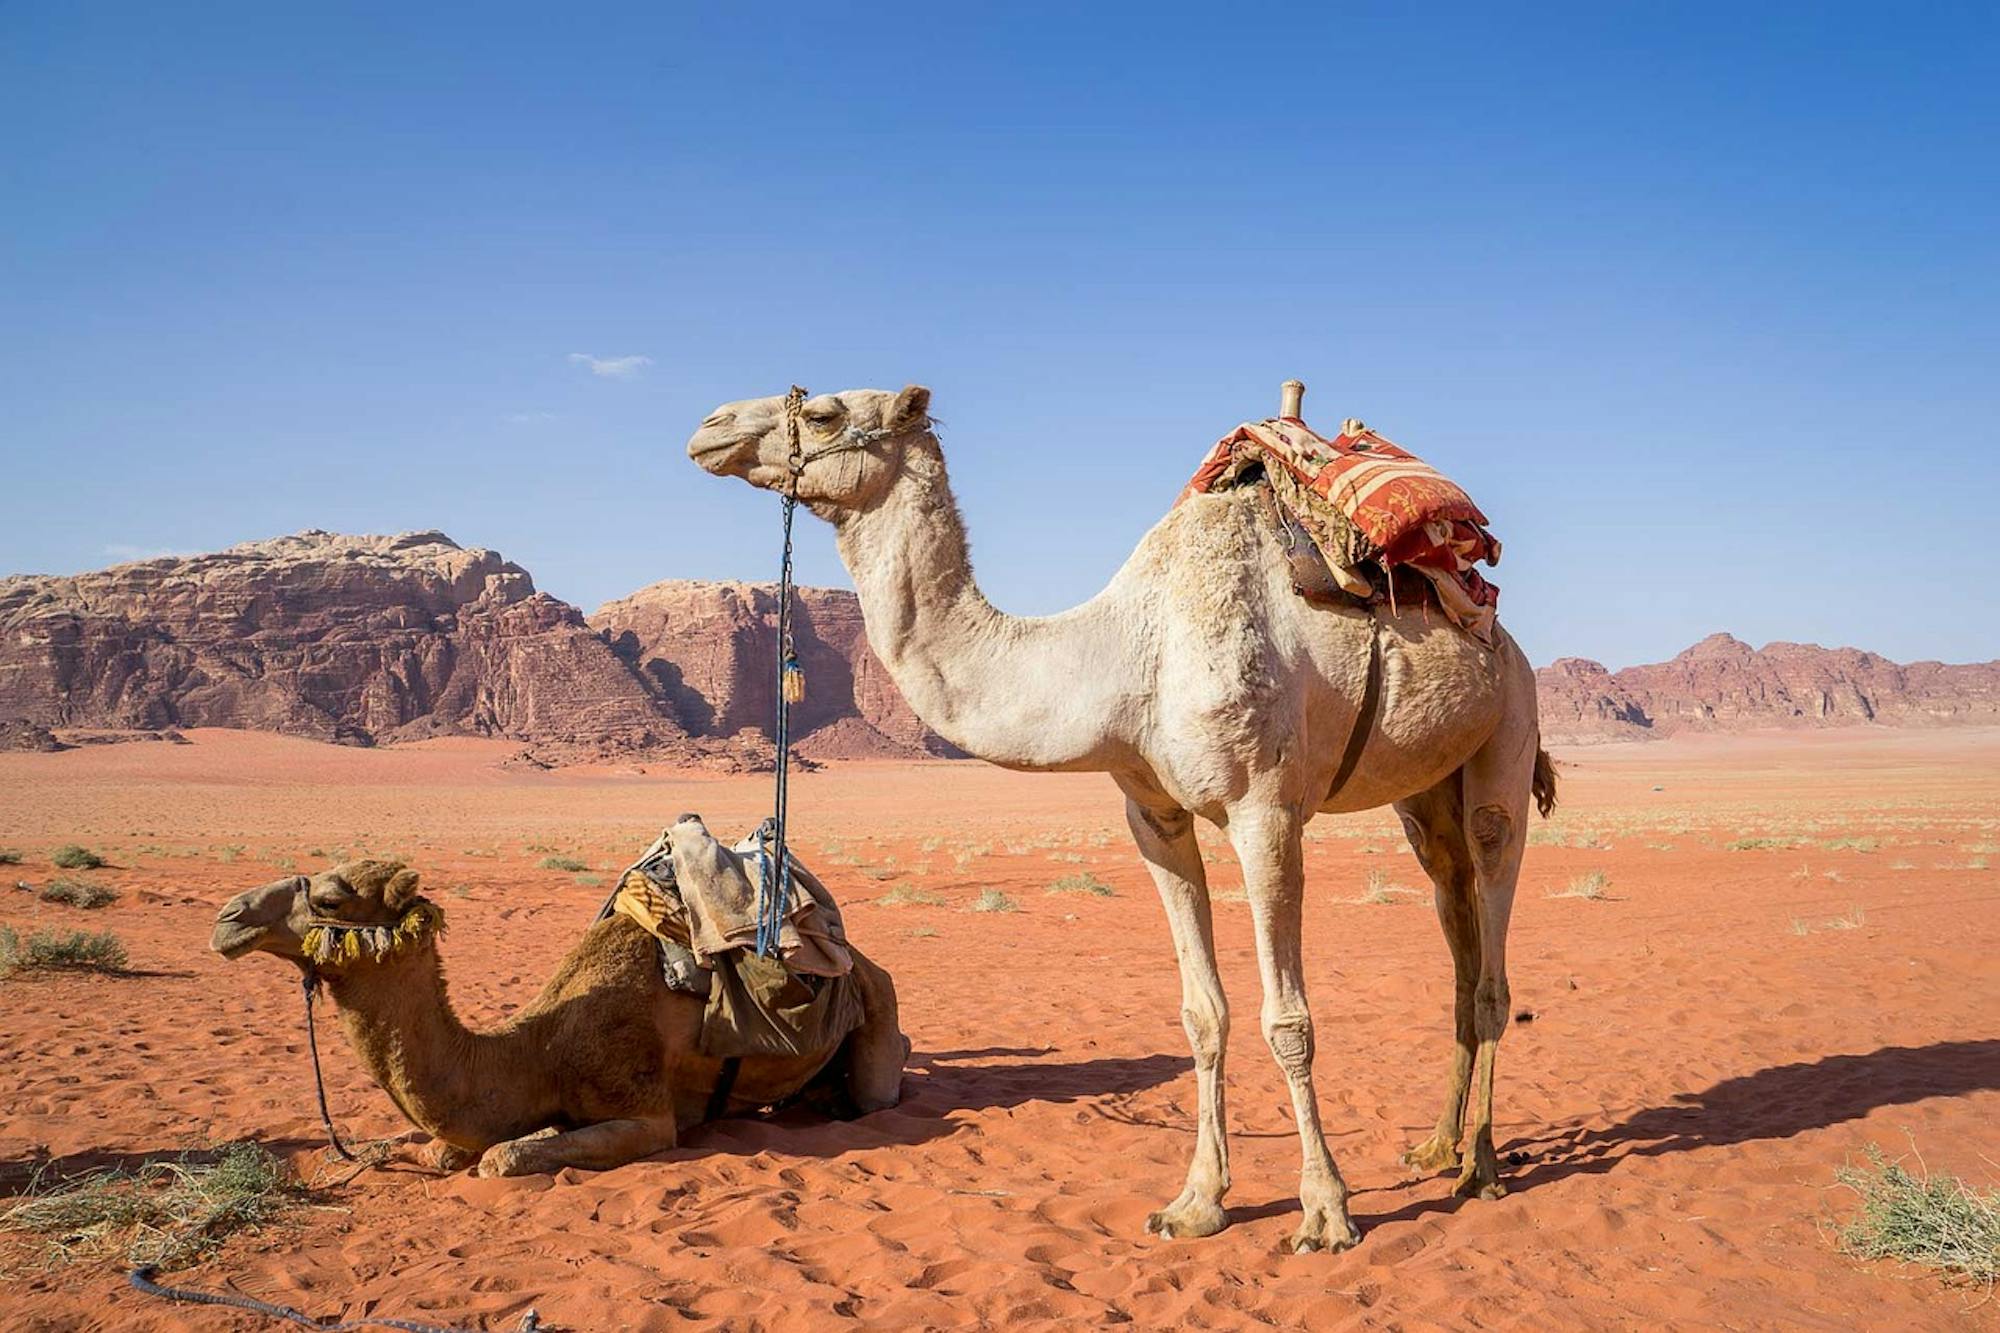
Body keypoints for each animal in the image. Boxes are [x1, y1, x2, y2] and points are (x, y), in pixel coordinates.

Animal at [210, 841, 907, 1177]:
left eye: (329, 899)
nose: (229, 919)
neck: (539, 1050)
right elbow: (438, 1148)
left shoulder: (648, 1117)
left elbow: (501, 1157)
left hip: (877, 999)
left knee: (880, 1085)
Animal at [688, 385, 1555, 1253]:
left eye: (826, 412)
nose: (710, 428)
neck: (1126, 657)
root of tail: (1500, 633)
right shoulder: (1154, 815)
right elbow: (1202, 1013)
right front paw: (1197, 1200)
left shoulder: (1265, 810)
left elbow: (1288, 1019)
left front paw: (1325, 1210)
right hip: (1424, 793)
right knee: (1454, 923)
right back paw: (1435, 1145)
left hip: (1507, 732)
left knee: (1491, 941)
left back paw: (1480, 1165)